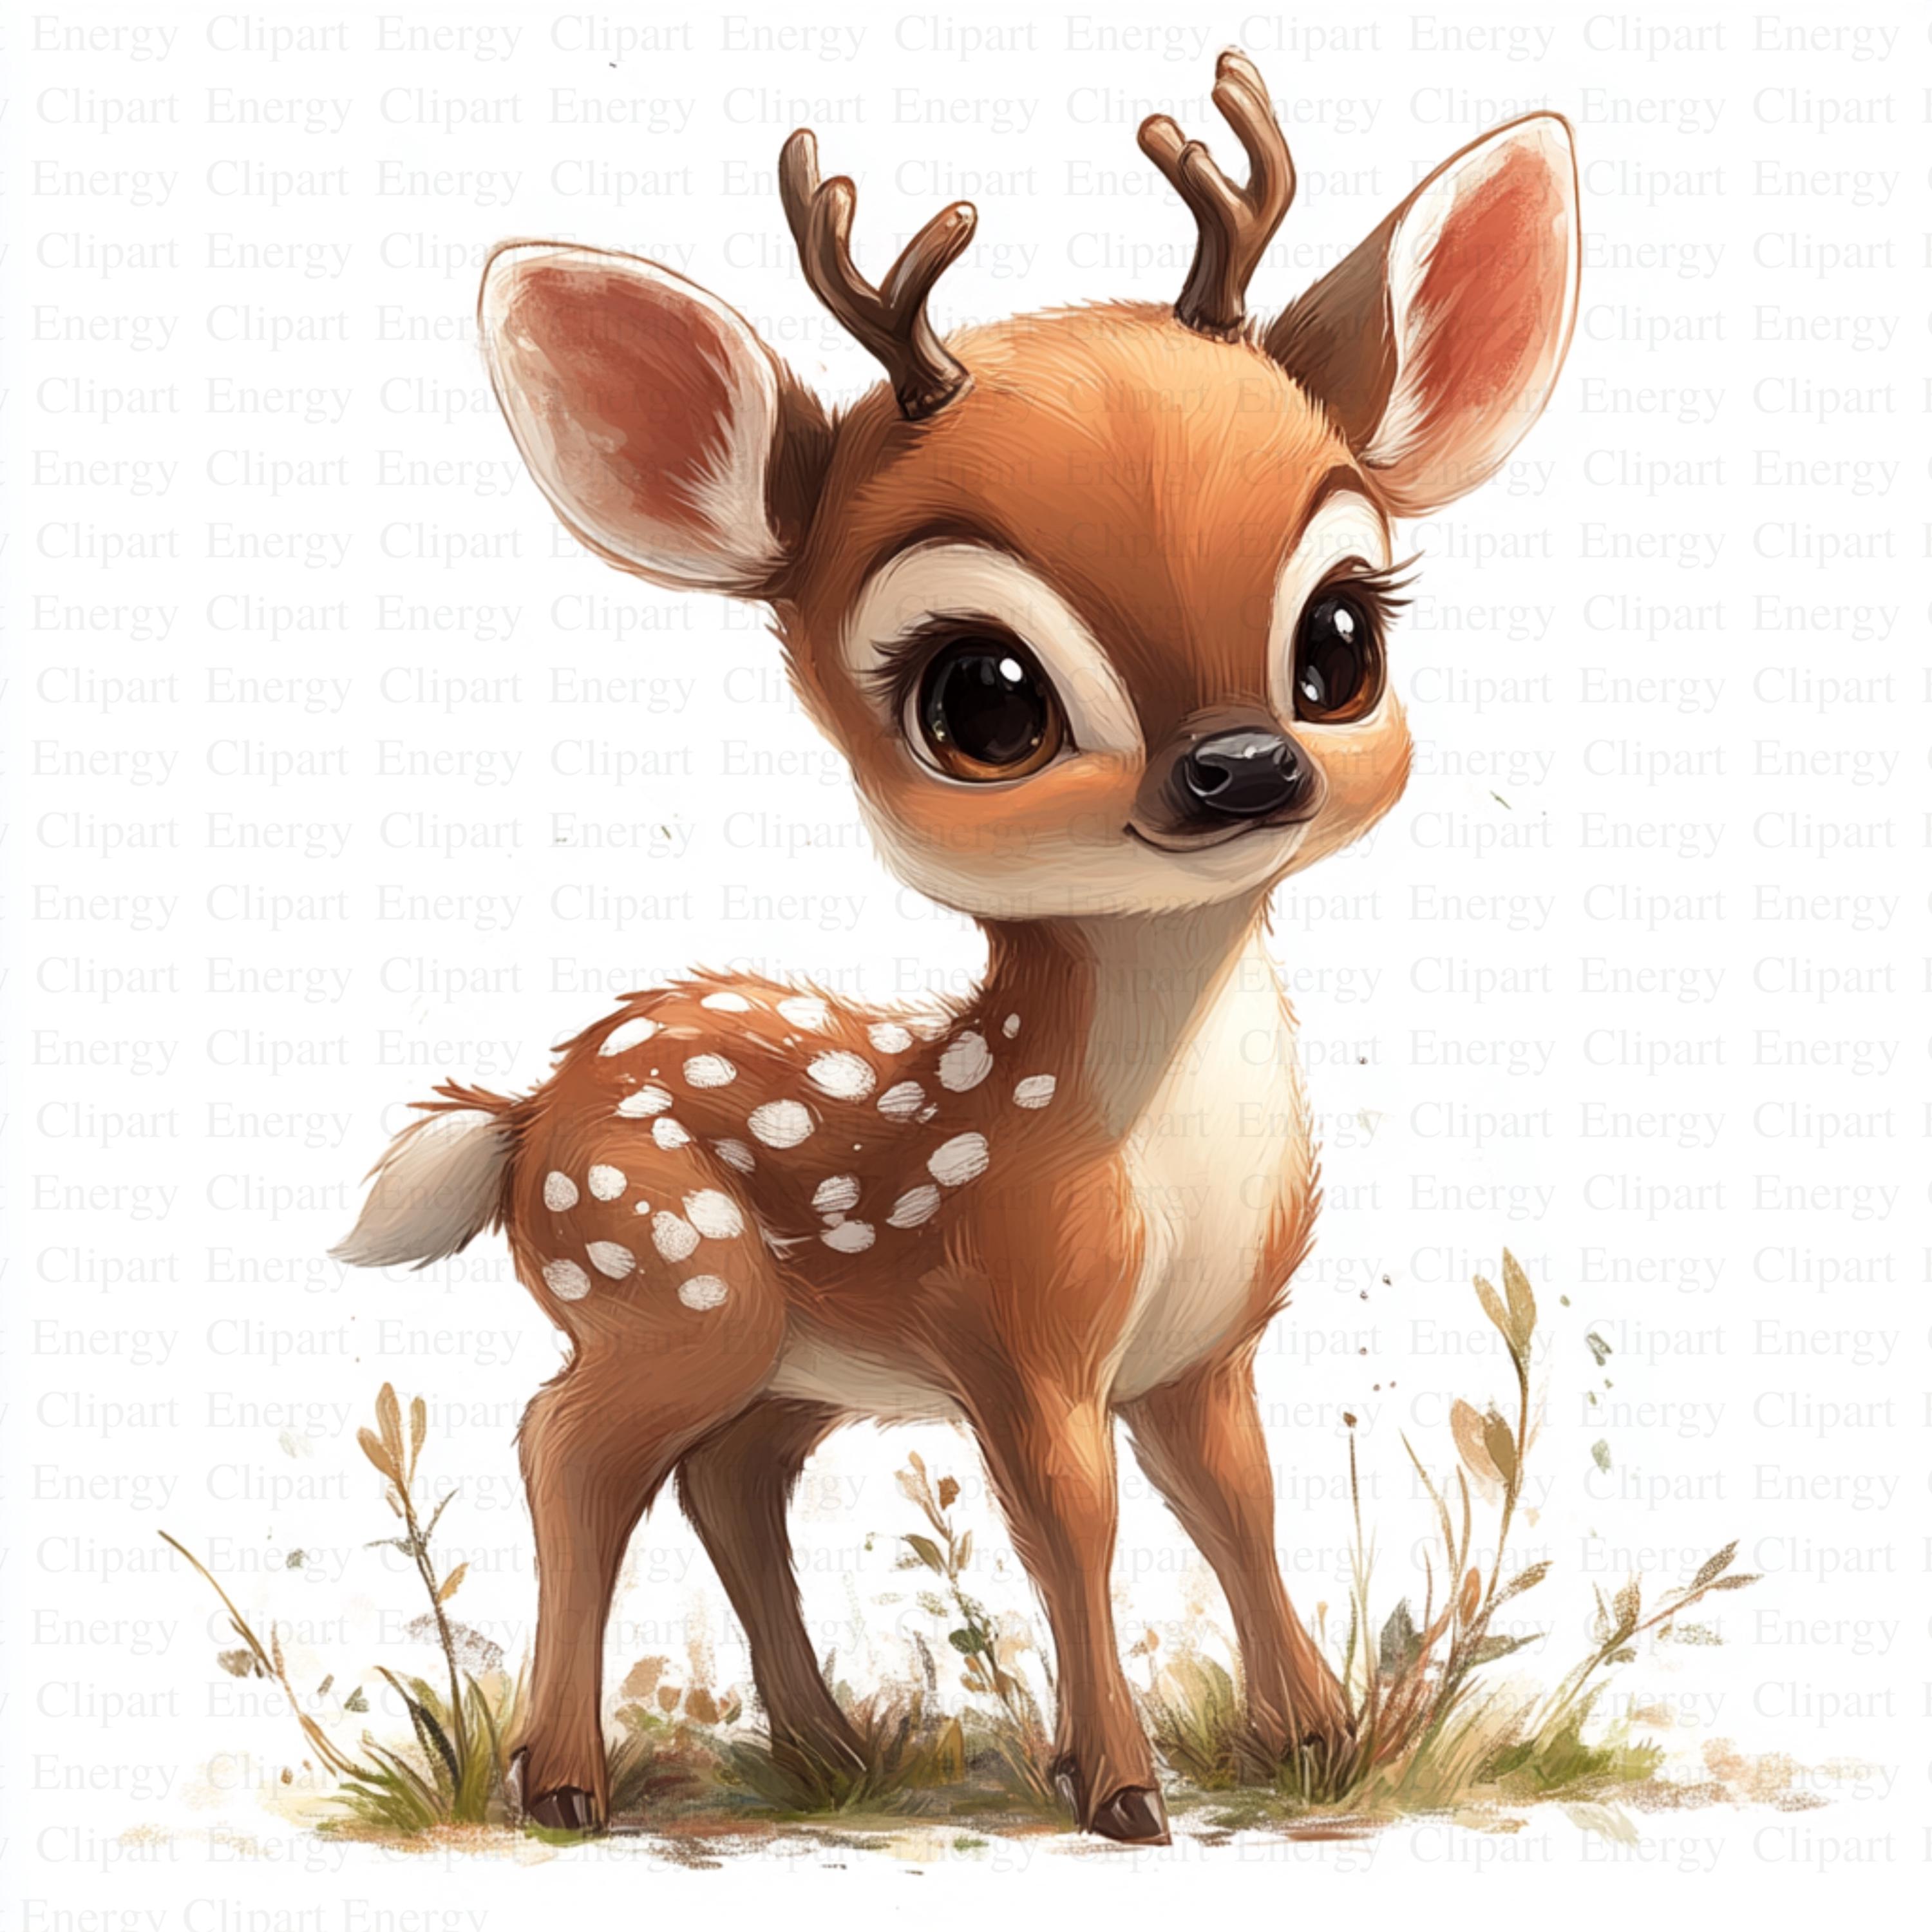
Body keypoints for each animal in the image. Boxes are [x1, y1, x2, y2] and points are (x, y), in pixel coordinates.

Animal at [334, 50, 1578, 1843]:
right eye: (983, 698)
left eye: (1340, 637)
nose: (1243, 767)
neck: (1160, 1142)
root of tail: (521, 1117)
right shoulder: (1013, 1324)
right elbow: (1076, 1522)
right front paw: (1120, 1789)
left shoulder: (1206, 1346)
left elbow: (1239, 1505)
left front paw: (1317, 1742)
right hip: (662, 1282)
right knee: (565, 1445)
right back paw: (563, 1778)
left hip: (783, 1352)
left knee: (730, 1475)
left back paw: (828, 1751)